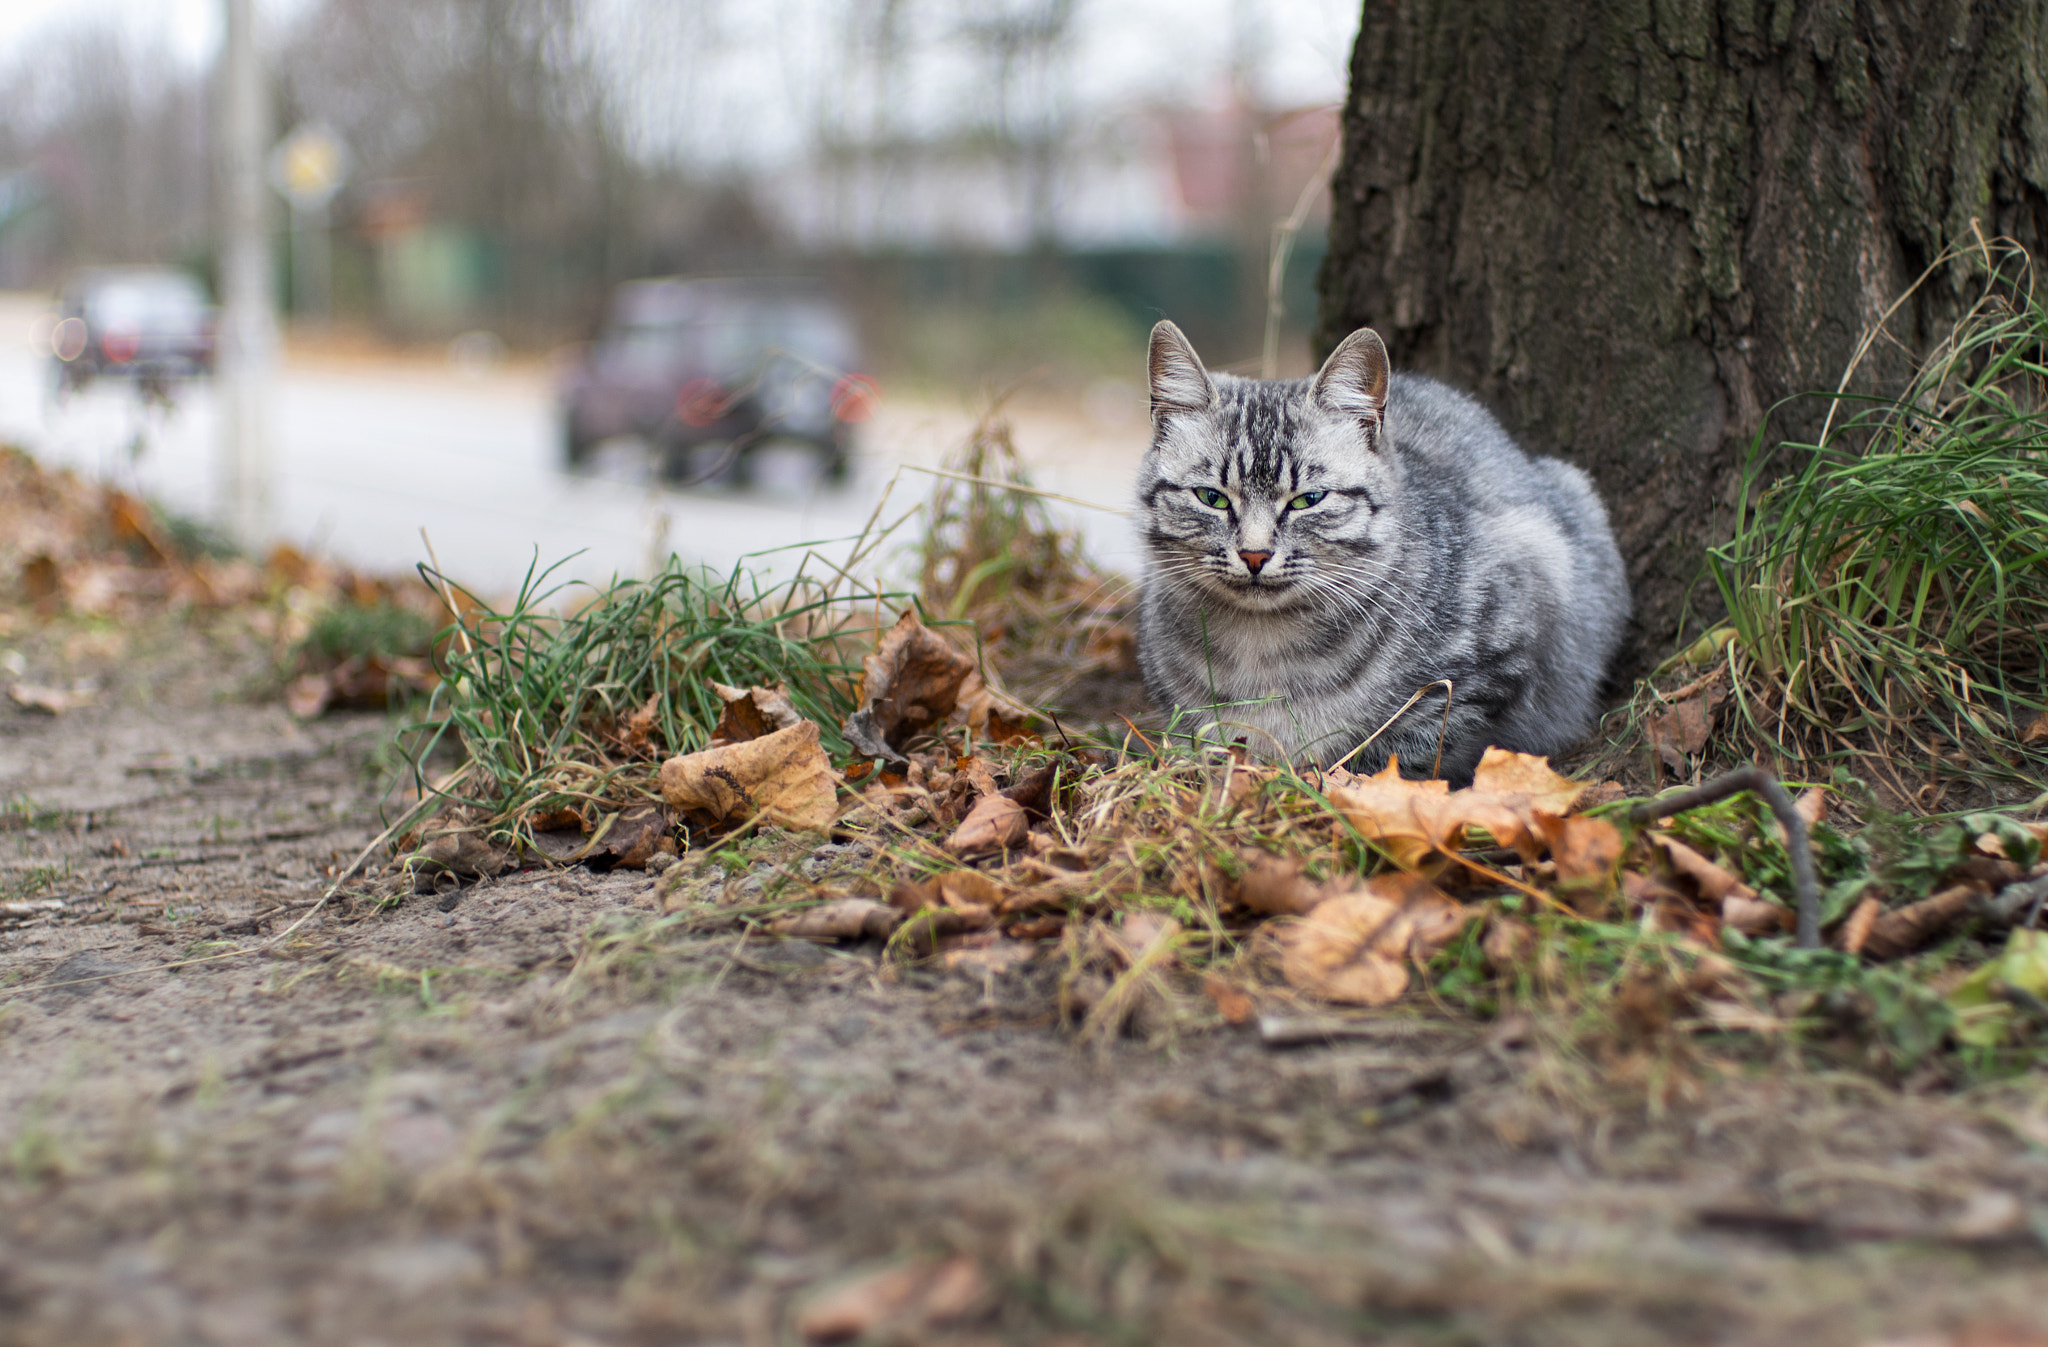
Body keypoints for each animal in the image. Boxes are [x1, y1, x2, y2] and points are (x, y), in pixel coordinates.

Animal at [1130, 319, 1622, 777]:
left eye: (1308, 499)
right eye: (1211, 497)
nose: (1255, 554)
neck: (1262, 650)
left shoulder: (1485, 669)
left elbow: (1395, 754)